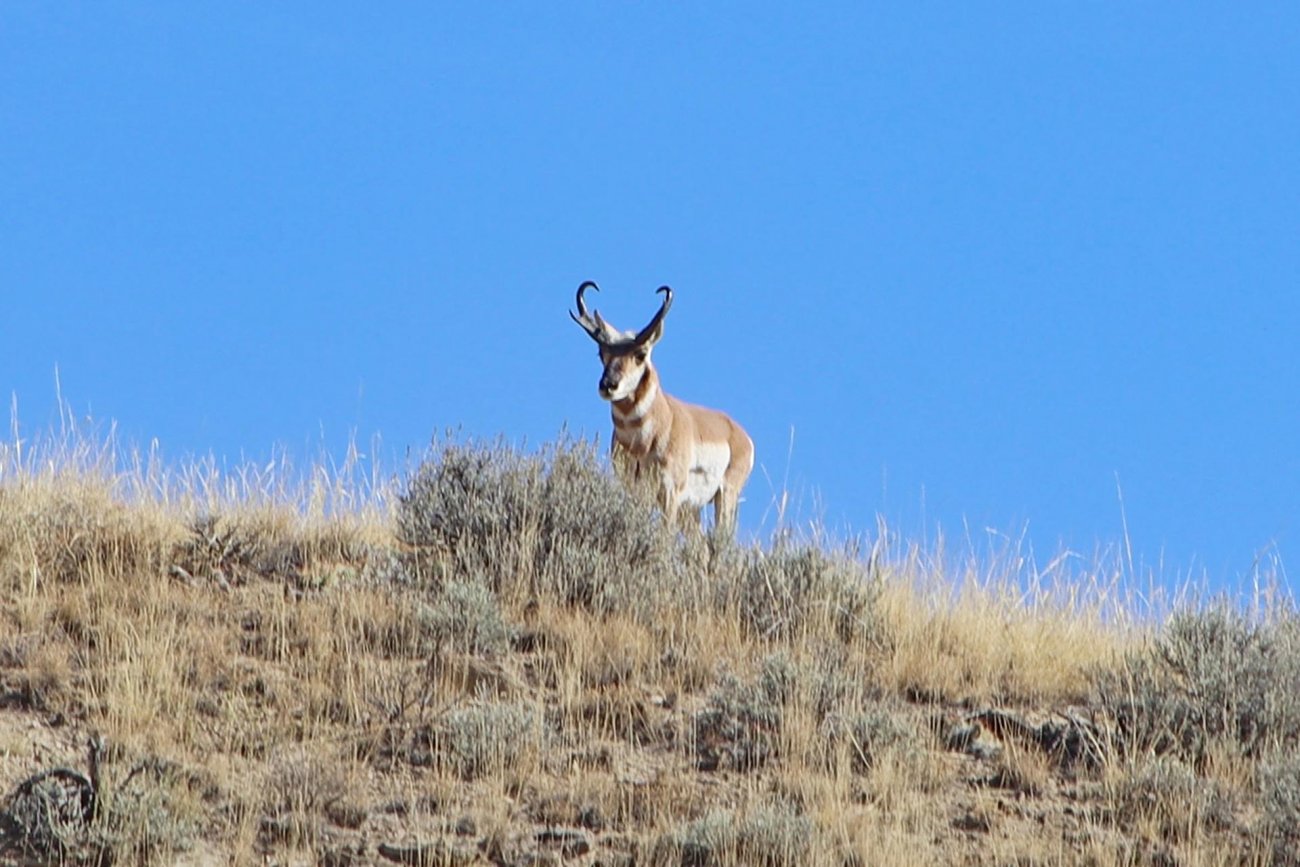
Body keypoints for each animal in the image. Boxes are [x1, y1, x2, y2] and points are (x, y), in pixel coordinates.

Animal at [570, 281, 754, 534]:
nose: (608, 385)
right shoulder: (633, 489)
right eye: (601, 354)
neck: (642, 441)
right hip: (691, 510)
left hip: (725, 495)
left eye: (640, 354)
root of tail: (739, 433)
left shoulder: (669, 492)